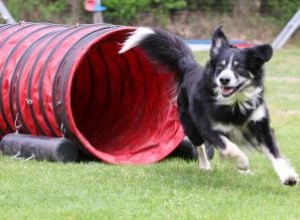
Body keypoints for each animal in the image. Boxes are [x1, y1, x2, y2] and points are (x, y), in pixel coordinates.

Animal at [119, 26, 298, 186]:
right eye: (220, 66)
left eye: (239, 67)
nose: (224, 80)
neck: (235, 103)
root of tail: (191, 67)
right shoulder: (208, 126)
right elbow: (227, 146)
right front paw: (242, 161)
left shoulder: (260, 123)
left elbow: (274, 152)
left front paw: (288, 175)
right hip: (190, 124)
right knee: (199, 145)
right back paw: (206, 165)